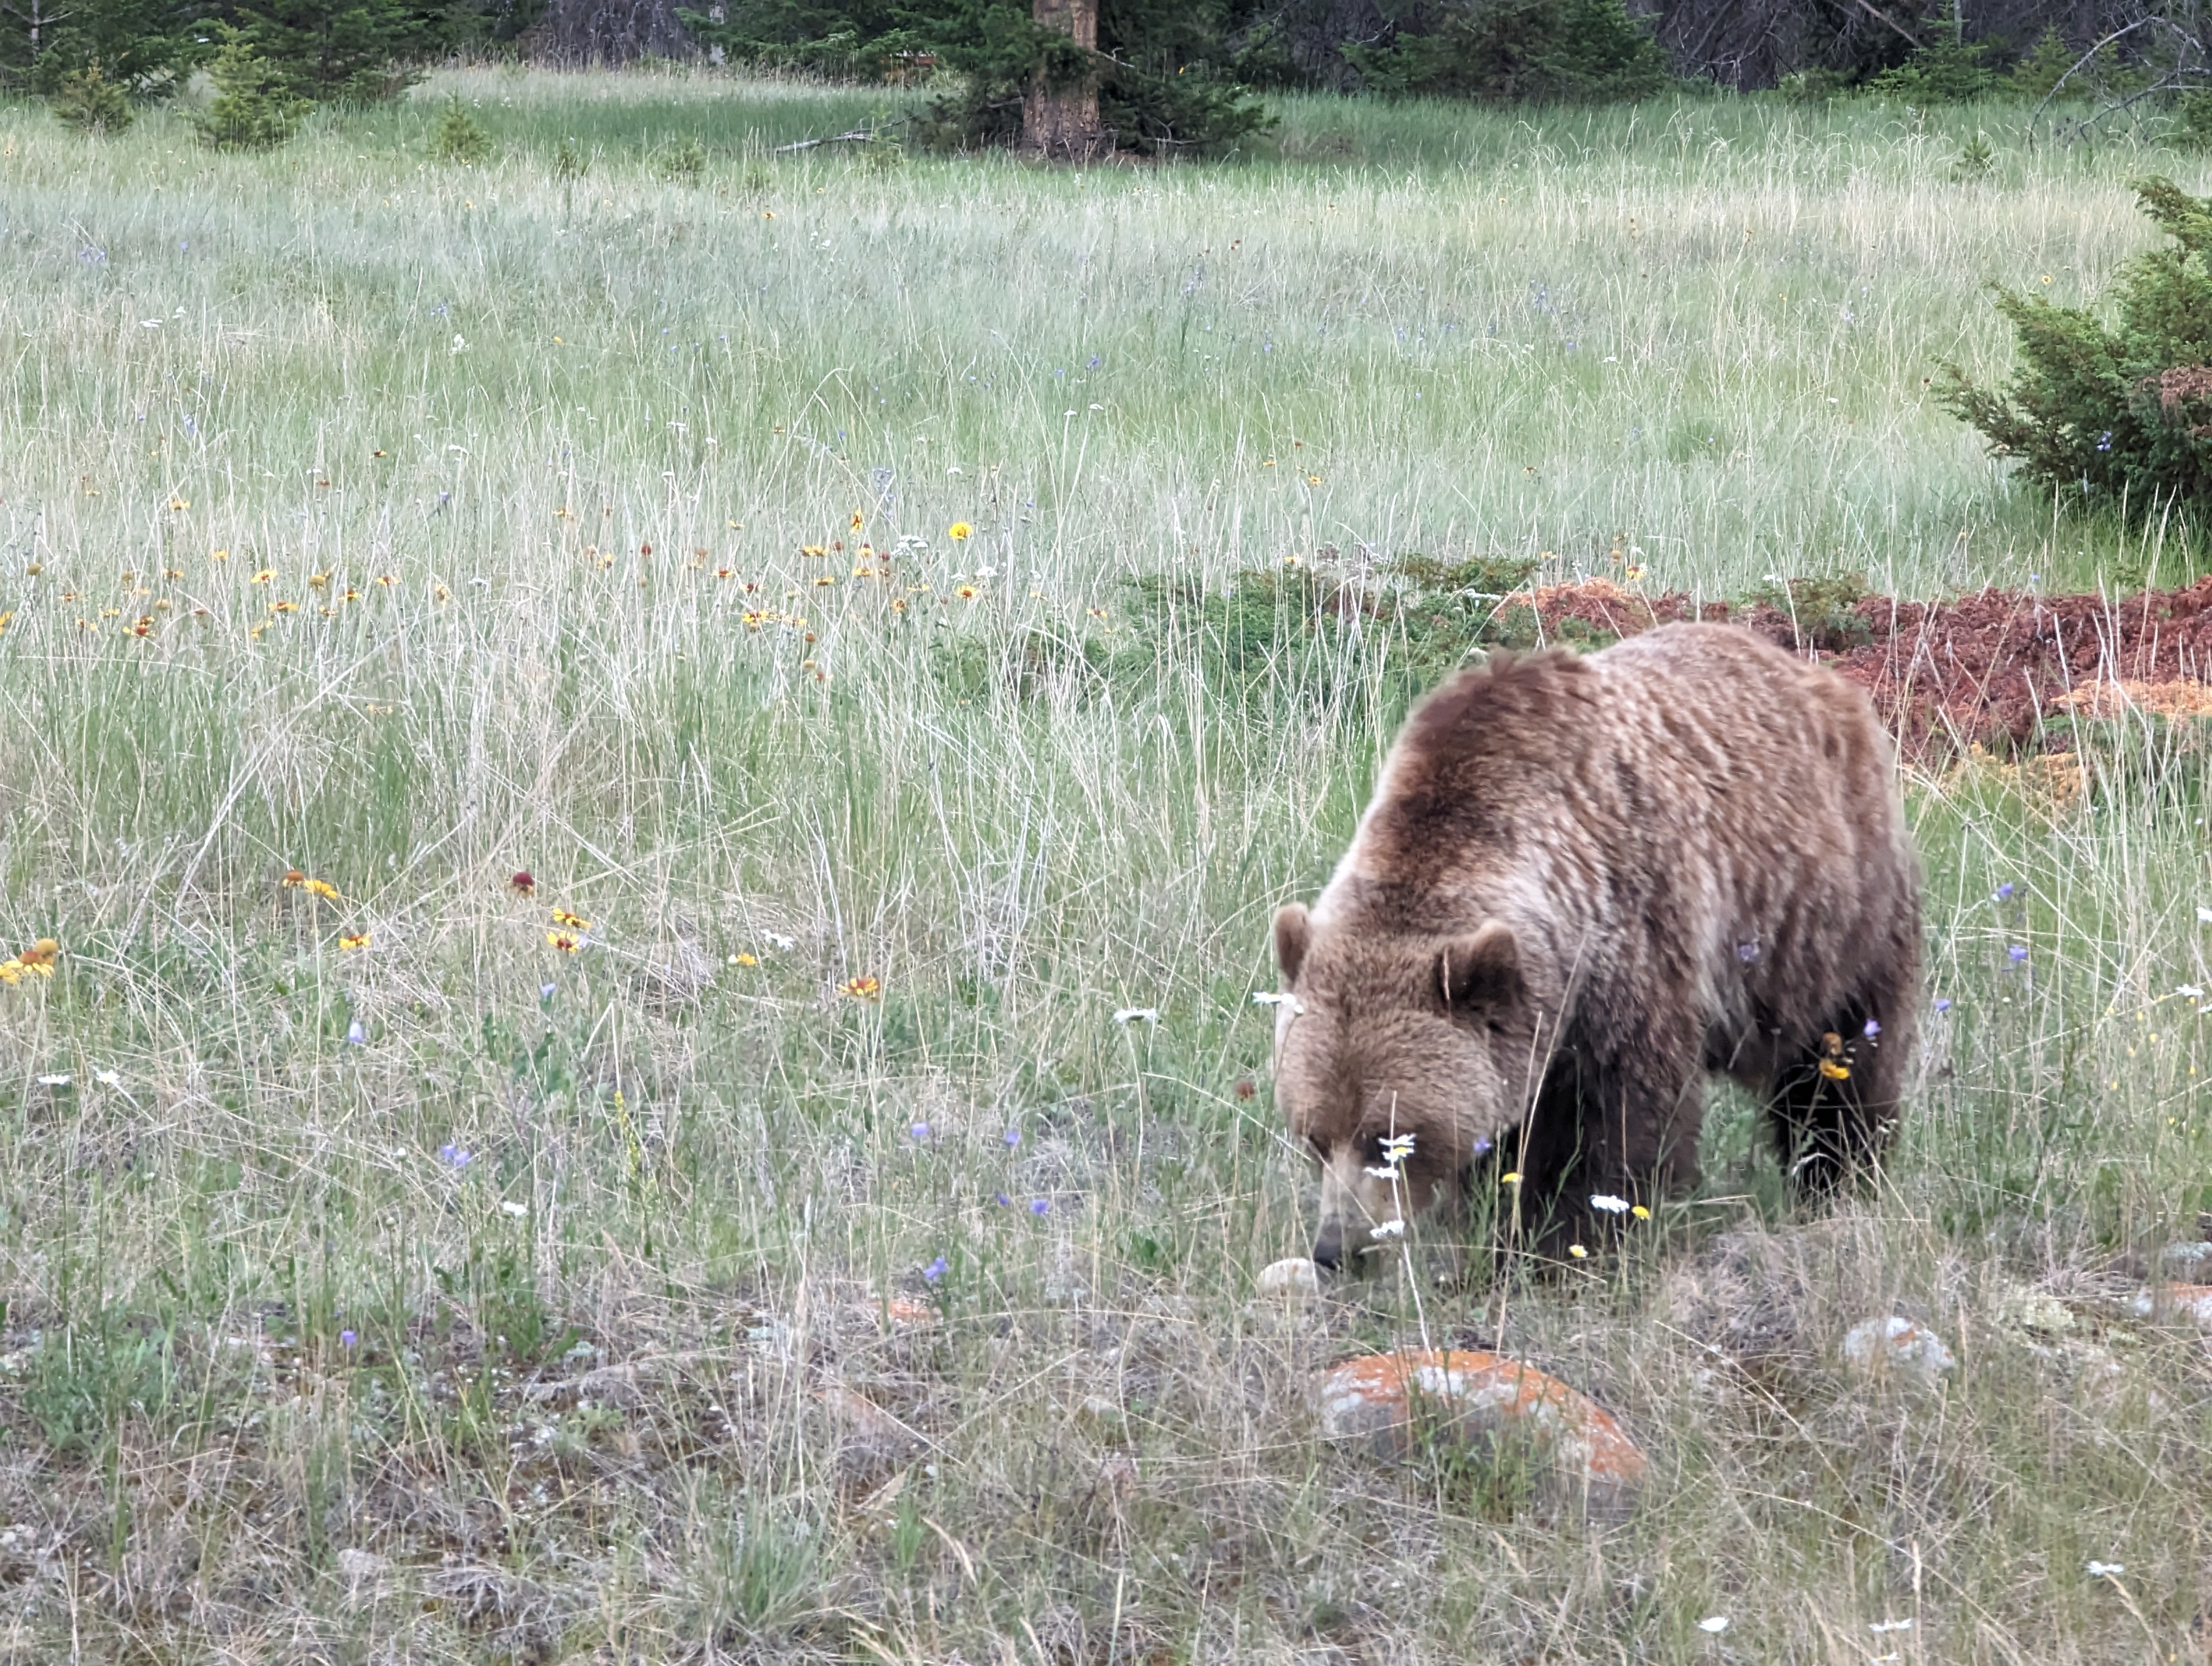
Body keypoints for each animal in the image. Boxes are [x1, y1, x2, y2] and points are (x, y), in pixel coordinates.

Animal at [1270, 623, 1922, 1271]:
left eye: (1391, 1138)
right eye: (1313, 1136)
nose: (1336, 1247)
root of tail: (1809, 671)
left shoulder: (1628, 949)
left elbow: (1610, 1128)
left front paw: (1567, 1241)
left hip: (1828, 915)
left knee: (1840, 1060)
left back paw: (1837, 1175)